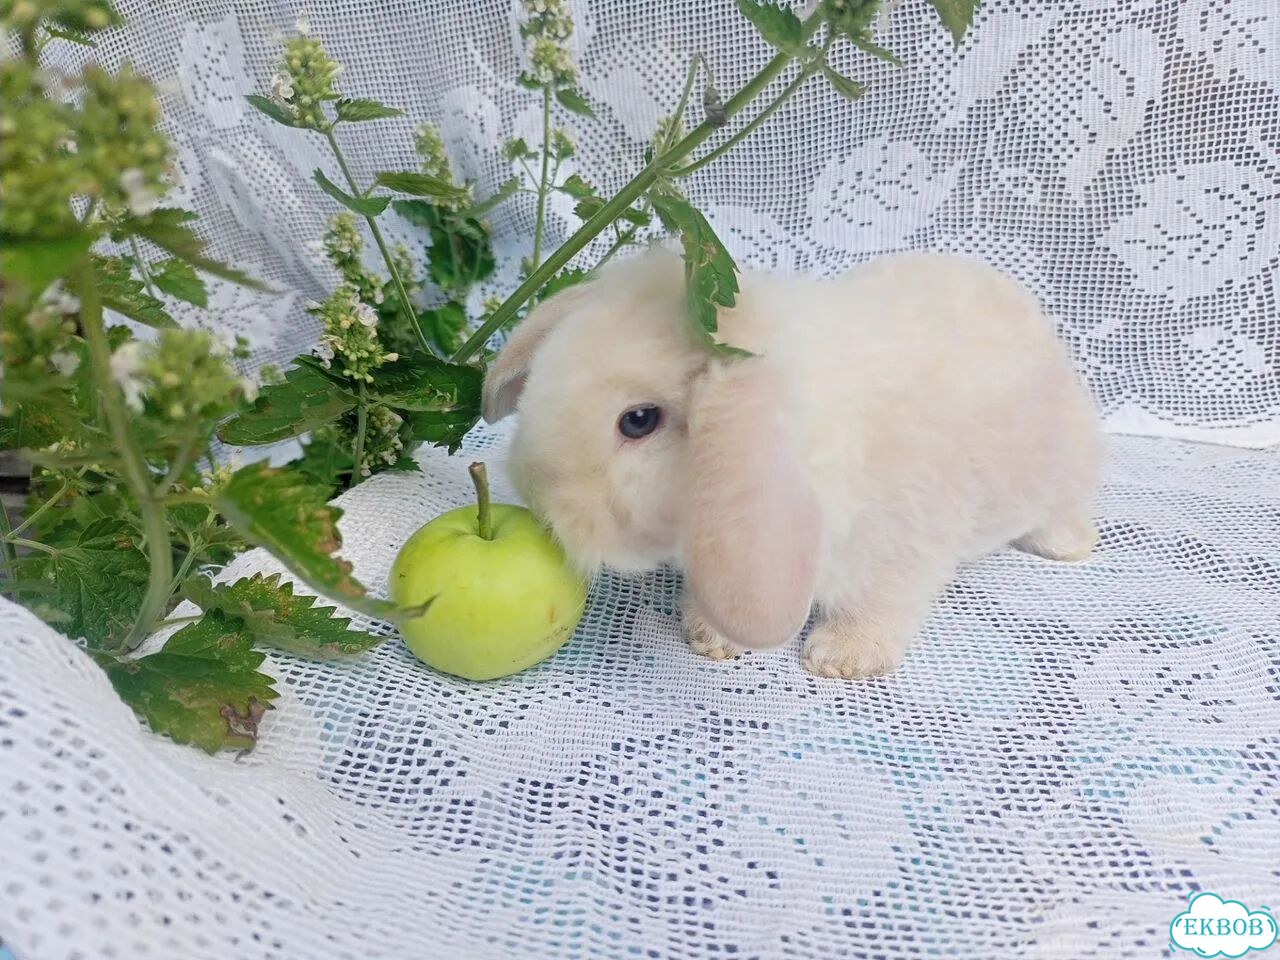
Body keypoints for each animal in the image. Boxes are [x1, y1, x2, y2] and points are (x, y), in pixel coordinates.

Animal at [481, 249, 1101, 678]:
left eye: (637, 420)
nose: (538, 497)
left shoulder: (901, 543)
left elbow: (879, 601)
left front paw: (841, 659)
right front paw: (709, 636)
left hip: (1065, 463)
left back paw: (1067, 547)